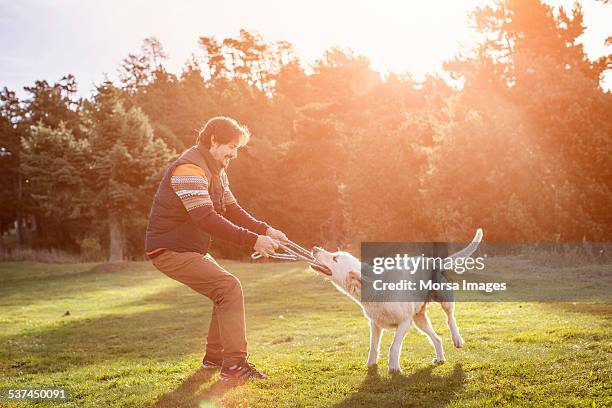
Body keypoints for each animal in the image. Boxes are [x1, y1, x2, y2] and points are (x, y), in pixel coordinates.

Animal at [310, 230, 482, 372]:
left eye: (335, 258)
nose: (314, 248)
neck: (374, 289)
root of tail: (431, 261)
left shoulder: (404, 323)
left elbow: (393, 348)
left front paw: (393, 368)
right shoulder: (375, 325)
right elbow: (373, 347)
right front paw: (371, 364)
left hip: (443, 298)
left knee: (450, 317)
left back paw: (457, 339)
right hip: (419, 319)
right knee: (437, 338)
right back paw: (440, 358)